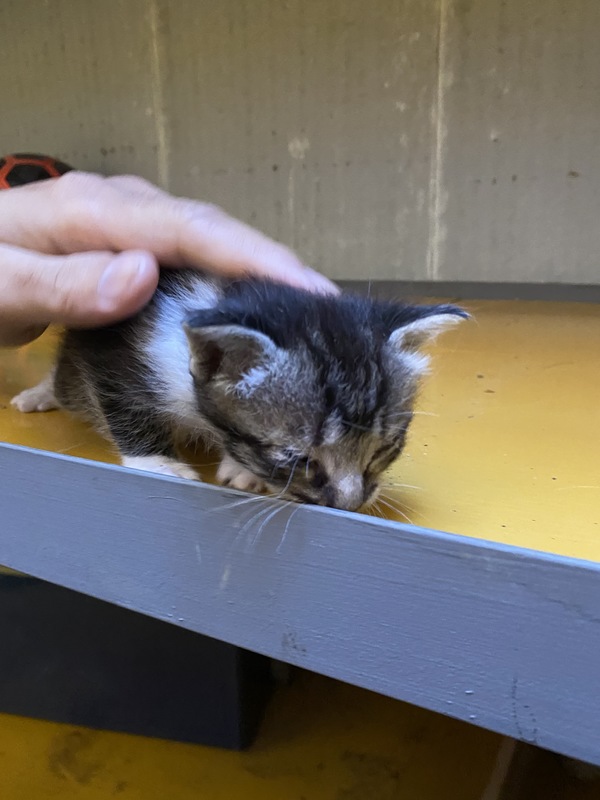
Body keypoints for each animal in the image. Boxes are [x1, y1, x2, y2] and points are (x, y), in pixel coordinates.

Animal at [11, 269, 467, 512]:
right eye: (299, 460)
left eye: (383, 449)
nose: (350, 503)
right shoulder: (112, 354)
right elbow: (122, 404)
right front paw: (158, 462)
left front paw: (242, 469)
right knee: (68, 386)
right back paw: (38, 394)